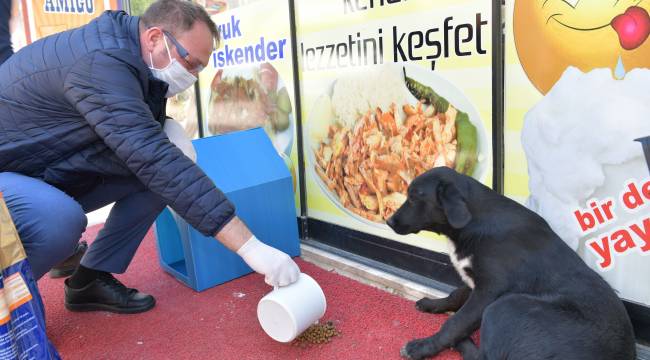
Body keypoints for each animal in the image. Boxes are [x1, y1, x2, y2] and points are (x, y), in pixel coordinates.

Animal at [384, 167, 632, 358]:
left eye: (414, 198)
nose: (388, 221)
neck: (474, 222)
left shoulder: (489, 291)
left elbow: (456, 323)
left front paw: (422, 347)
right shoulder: (476, 281)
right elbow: (456, 294)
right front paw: (433, 304)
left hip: (505, 305)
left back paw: (463, 342)